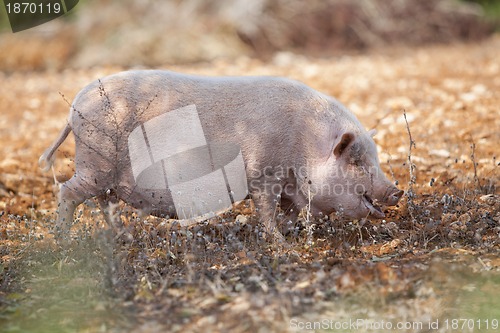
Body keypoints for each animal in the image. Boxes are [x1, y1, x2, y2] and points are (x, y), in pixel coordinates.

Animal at [41, 70, 404, 239]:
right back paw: (62, 240)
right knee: (68, 192)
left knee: (106, 204)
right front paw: (281, 244)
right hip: (94, 162)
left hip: (105, 176)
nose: (397, 190)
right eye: (356, 161)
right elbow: (266, 211)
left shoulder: (288, 184)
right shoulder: (262, 173)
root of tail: (75, 105)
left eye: (374, 159)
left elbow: (287, 212)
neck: (306, 143)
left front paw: (291, 234)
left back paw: (120, 235)